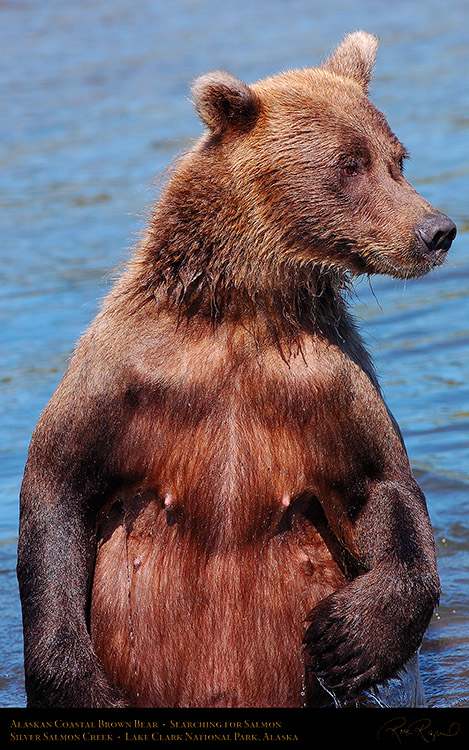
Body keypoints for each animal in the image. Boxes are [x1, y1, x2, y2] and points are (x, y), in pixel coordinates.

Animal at [17, 30, 454, 712]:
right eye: (349, 163)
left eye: (397, 158)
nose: (436, 229)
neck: (243, 313)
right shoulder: (132, 371)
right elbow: (59, 482)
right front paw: (80, 684)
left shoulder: (326, 381)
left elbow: (381, 484)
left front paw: (350, 638)